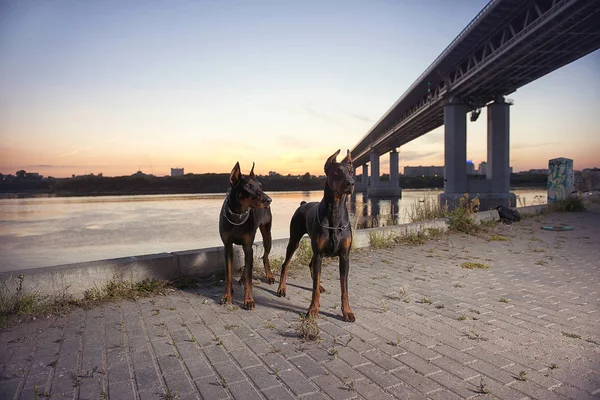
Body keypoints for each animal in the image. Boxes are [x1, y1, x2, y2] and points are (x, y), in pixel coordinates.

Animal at [219, 162, 276, 310]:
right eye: (248, 186)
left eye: (260, 186)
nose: (269, 200)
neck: (238, 214)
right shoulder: (227, 246)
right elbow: (228, 275)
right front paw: (227, 296)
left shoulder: (248, 245)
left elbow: (250, 279)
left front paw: (249, 300)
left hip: (267, 235)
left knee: (265, 256)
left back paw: (269, 276)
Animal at [278, 150, 356, 322]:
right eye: (337, 171)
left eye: (351, 171)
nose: (351, 183)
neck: (335, 211)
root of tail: (302, 204)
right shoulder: (320, 253)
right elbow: (313, 290)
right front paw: (313, 310)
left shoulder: (344, 256)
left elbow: (345, 288)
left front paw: (347, 311)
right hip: (294, 241)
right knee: (285, 265)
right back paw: (281, 288)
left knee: (311, 265)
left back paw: (319, 285)